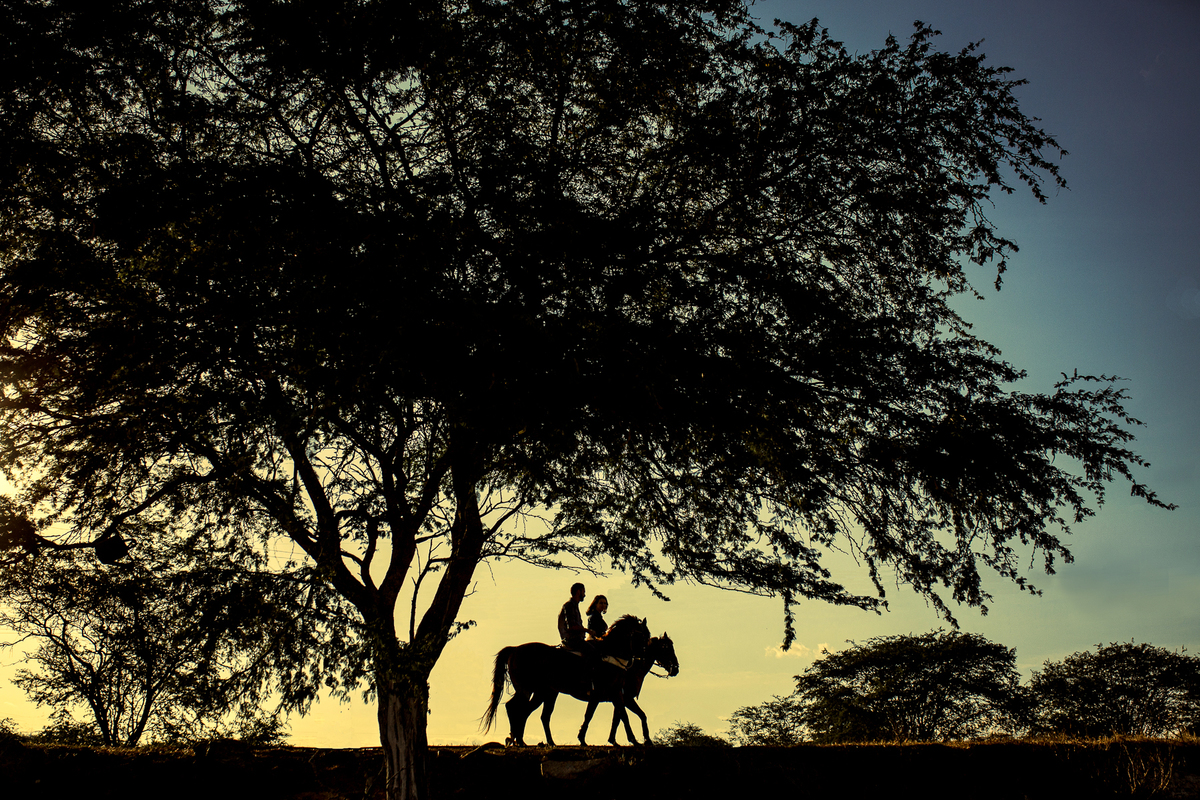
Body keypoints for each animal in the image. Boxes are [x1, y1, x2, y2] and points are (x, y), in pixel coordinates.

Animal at [482, 614, 650, 747]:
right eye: (642, 636)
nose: (643, 658)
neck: (610, 655)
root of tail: (515, 649)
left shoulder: (613, 694)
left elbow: (622, 715)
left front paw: (637, 740)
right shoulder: (608, 693)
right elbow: (620, 715)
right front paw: (635, 740)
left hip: (542, 693)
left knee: (534, 714)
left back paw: (529, 741)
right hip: (526, 689)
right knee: (514, 708)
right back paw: (516, 739)